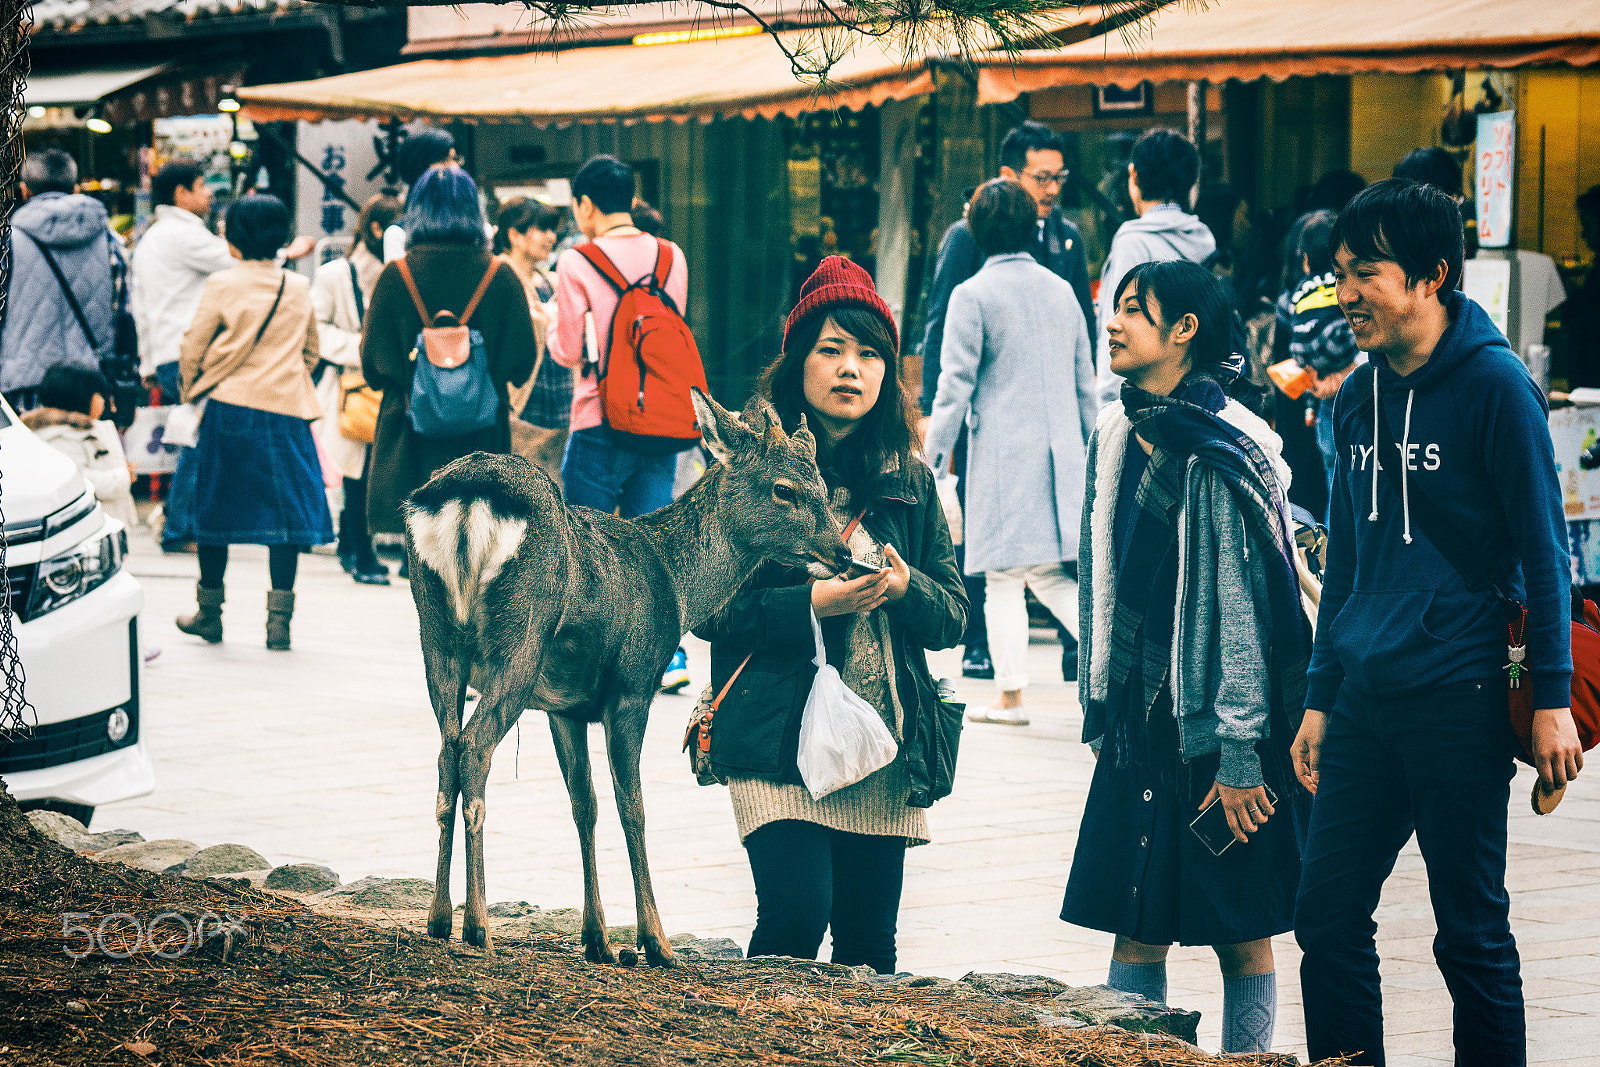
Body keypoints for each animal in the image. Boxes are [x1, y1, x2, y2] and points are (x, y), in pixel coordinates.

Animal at [403, 388, 851, 966]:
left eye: (823, 486)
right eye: (783, 489)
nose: (842, 553)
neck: (677, 586)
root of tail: (467, 493)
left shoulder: (564, 706)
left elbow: (585, 805)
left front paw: (597, 939)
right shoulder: (634, 684)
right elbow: (632, 807)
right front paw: (655, 941)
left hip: (436, 637)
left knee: (447, 754)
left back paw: (438, 919)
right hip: (520, 638)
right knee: (475, 749)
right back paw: (478, 926)